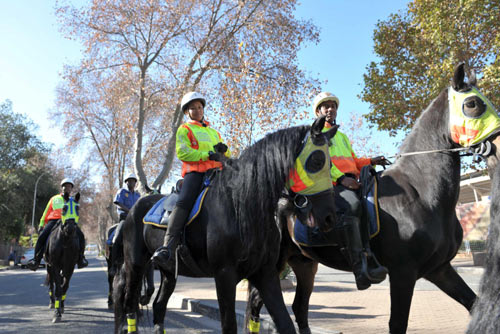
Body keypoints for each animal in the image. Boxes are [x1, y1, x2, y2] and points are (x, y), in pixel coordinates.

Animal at [44, 193, 81, 324]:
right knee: (52, 284)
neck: (65, 240)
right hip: (49, 266)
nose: (70, 228)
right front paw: (57, 313)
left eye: (77, 208)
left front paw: (61, 307)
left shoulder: (70, 266)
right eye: (64, 208)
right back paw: (52, 303)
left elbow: (64, 286)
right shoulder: (54, 265)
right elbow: (58, 289)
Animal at [114, 117, 340, 332]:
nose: (329, 217)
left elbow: (285, 324)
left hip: (169, 272)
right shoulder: (224, 275)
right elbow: (229, 325)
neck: (240, 206)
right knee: (129, 306)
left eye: (330, 165)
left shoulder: (265, 273)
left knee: (159, 306)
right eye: (317, 160)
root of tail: (135, 208)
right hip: (135, 265)